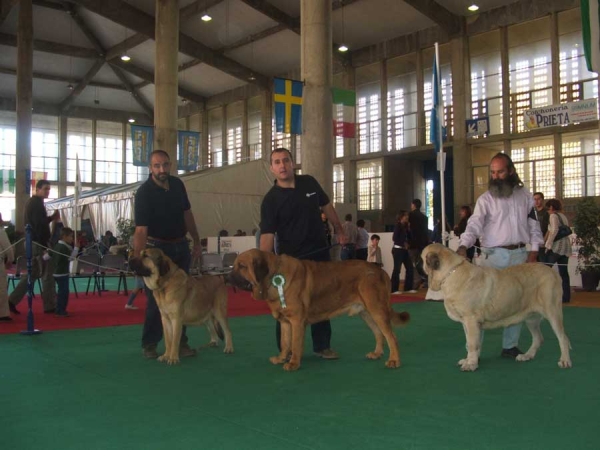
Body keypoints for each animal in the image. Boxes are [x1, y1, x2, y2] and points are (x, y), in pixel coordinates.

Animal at [229, 248, 408, 370]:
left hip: (376, 309)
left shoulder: (297, 321)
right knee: (379, 333)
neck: (274, 276)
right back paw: (376, 353)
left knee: (391, 336)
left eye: (242, 266)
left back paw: (394, 360)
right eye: (234, 266)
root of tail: (380, 270)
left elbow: (295, 344)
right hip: (366, 312)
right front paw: (281, 358)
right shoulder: (285, 322)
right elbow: (285, 342)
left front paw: (293, 363)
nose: (227, 277)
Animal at [422, 244, 572, 370]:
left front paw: (471, 364)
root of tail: (552, 272)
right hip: (531, 318)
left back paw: (564, 360)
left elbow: (472, 343)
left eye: (421, 258)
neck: (451, 273)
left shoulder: (471, 320)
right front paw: (470, 360)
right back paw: (526, 356)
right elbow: (471, 343)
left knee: (563, 338)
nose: (417, 263)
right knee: (538, 338)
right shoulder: (466, 323)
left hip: (552, 312)